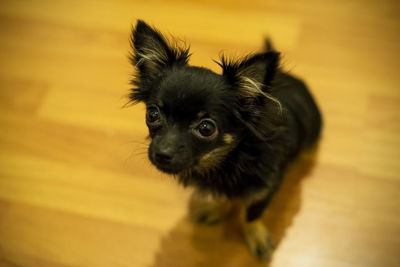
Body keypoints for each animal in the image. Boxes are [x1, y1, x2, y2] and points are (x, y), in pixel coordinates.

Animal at [128, 19, 322, 260]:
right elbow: (223, 196)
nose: (162, 153)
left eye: (206, 128)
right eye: (152, 114)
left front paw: (256, 236)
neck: (229, 158)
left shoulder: (265, 189)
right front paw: (217, 209)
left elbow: (251, 215)